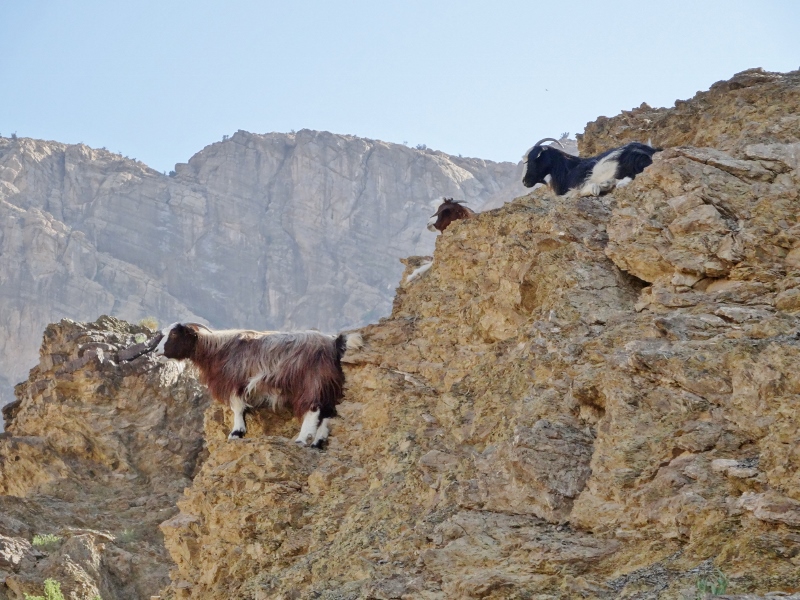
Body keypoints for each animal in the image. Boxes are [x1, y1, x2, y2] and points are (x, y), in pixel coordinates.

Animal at [150, 323, 362, 448]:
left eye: (175, 335)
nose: (157, 351)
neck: (217, 349)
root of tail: (334, 343)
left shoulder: (235, 381)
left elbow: (237, 407)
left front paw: (236, 433)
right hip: (330, 383)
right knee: (328, 412)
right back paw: (317, 442)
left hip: (312, 380)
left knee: (314, 408)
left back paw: (302, 439)